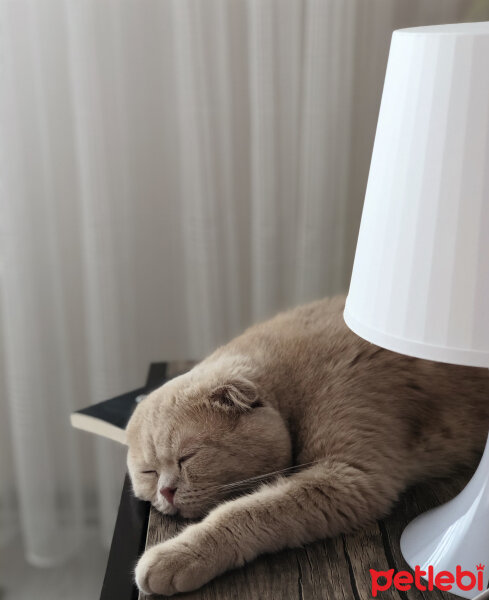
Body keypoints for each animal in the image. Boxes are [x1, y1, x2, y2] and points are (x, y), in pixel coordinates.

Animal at [126, 296, 488, 596]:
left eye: (188, 457)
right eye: (148, 472)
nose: (166, 492)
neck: (291, 384)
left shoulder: (350, 477)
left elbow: (243, 511)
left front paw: (176, 556)